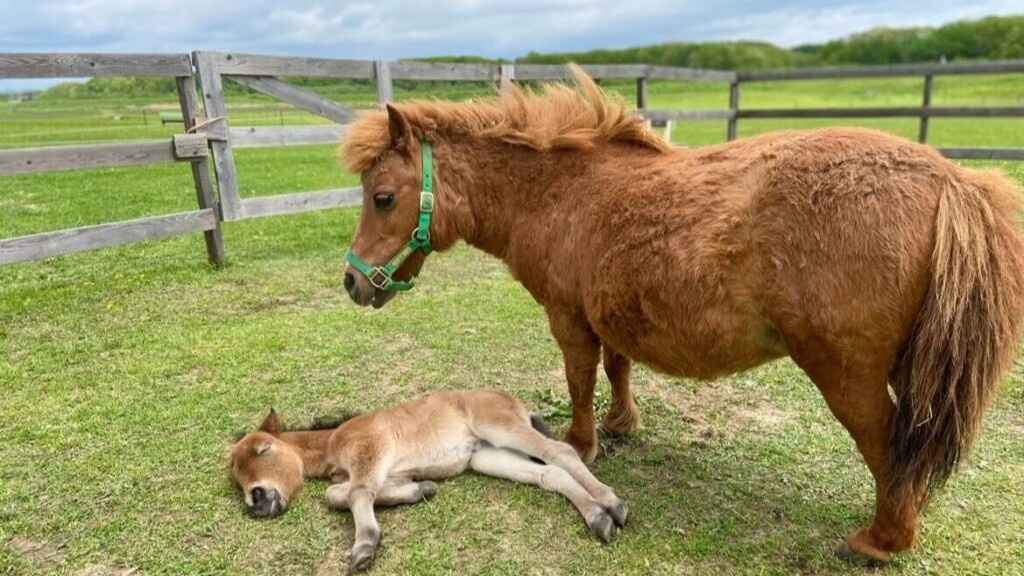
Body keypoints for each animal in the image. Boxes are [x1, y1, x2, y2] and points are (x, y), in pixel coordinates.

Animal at [229, 390, 628, 573]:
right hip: (486, 455)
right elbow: (338, 493)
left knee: (560, 451)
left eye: (263, 450)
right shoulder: (384, 468)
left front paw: (364, 547)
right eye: (235, 475)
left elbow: (356, 493)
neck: (331, 443)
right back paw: (598, 517)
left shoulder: (370, 450)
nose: (258, 500)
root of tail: (510, 400)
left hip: (499, 426)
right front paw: (421, 489)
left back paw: (612, 503)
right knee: (549, 473)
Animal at [337, 65, 1024, 564]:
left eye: (383, 197)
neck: (558, 194)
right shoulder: (610, 312)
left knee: (888, 449)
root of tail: (950, 178)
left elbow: (579, 384)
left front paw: (583, 444)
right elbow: (618, 370)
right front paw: (622, 424)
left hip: (846, 374)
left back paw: (880, 542)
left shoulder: (569, 318)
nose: (351, 281)